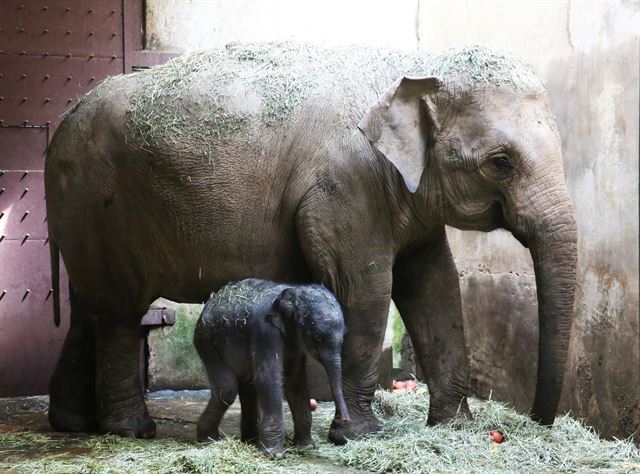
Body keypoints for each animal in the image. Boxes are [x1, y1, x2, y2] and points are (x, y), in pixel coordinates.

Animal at [194, 278, 350, 456]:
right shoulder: (265, 332)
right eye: (317, 337)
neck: (293, 291)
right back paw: (208, 440)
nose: (344, 419)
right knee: (226, 390)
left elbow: (295, 381)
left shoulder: (296, 345)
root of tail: (211, 300)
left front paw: (307, 446)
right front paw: (274, 455)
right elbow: (268, 378)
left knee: (248, 388)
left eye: (343, 336)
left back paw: (250, 441)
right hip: (207, 342)